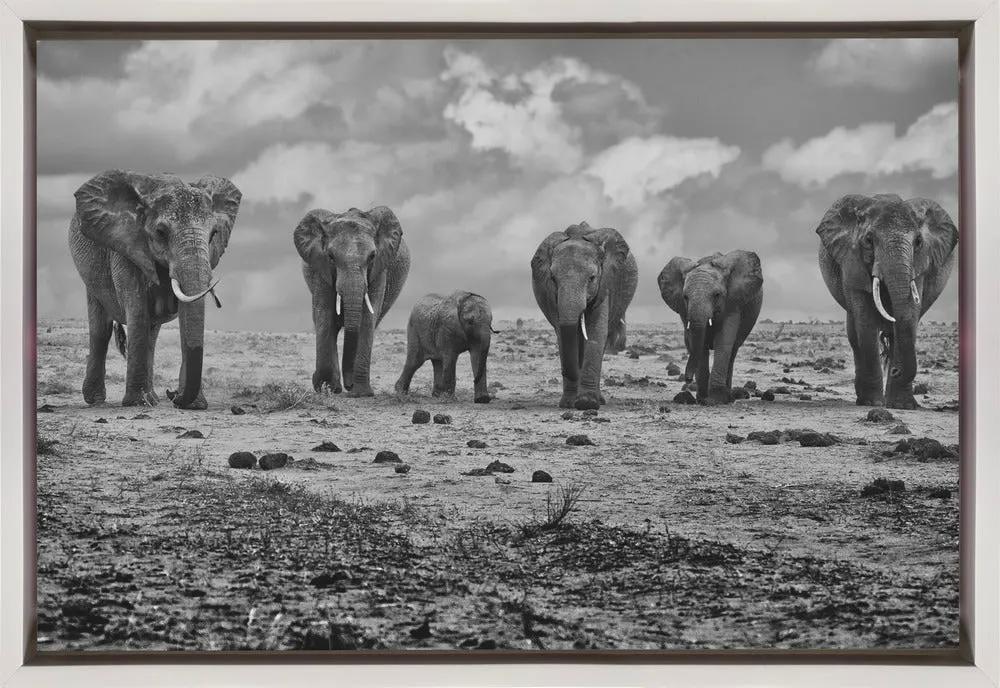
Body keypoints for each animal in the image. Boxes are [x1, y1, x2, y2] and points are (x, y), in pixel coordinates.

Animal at [68, 170, 241, 409]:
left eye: (214, 233)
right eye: (161, 232)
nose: (173, 394)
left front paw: (194, 406)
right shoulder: (126, 248)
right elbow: (137, 309)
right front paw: (136, 403)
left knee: (152, 334)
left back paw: (153, 399)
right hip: (89, 272)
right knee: (101, 329)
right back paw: (97, 400)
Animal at [294, 206, 410, 397]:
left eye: (372, 256)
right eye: (331, 257)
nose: (350, 385)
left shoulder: (379, 269)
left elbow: (367, 319)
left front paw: (361, 393)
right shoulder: (320, 268)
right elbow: (324, 316)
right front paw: (326, 388)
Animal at [530, 221, 638, 409]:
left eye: (592, 278)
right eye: (553, 279)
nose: (569, 372)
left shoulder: (605, 283)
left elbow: (596, 331)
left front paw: (586, 403)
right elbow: (562, 333)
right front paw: (569, 404)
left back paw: (598, 400)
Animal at [658, 250, 763, 405]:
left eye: (717, 295)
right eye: (685, 297)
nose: (687, 379)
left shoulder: (733, 302)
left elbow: (724, 339)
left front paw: (715, 400)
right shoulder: (684, 310)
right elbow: (697, 342)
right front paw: (702, 399)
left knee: (733, 352)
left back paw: (729, 398)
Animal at [817, 194, 957, 409]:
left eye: (918, 241)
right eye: (868, 240)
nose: (895, 371)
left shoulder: (920, 266)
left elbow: (910, 313)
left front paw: (903, 406)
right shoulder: (851, 261)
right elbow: (865, 322)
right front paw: (872, 403)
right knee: (855, 336)